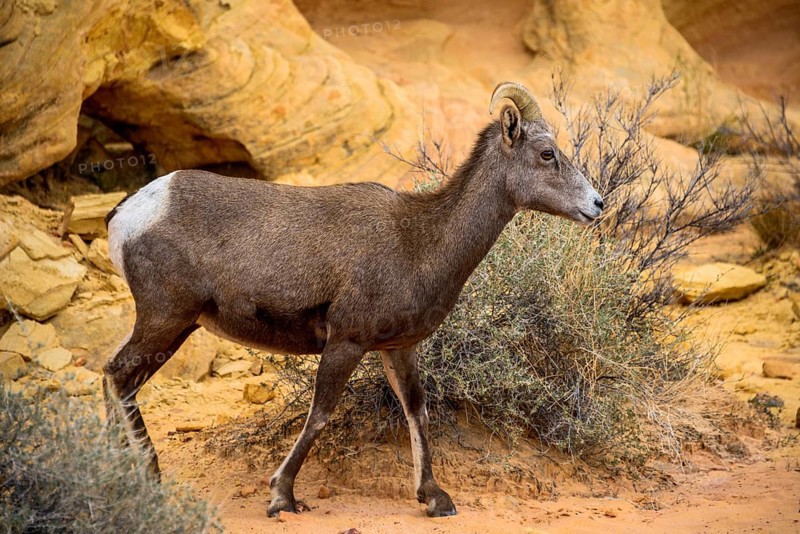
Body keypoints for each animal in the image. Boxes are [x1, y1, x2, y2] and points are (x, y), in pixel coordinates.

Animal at [102, 81, 604, 518]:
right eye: (547, 154)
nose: (597, 205)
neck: (418, 240)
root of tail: (129, 211)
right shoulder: (346, 342)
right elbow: (320, 414)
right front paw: (282, 497)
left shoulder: (398, 348)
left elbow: (416, 410)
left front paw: (434, 498)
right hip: (166, 320)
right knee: (119, 376)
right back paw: (147, 476)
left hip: (172, 324)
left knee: (114, 378)